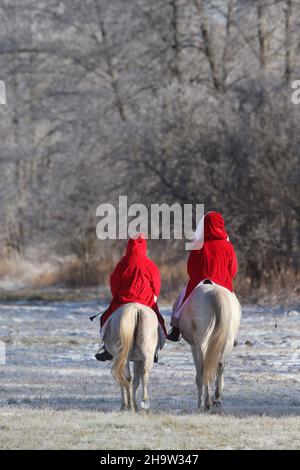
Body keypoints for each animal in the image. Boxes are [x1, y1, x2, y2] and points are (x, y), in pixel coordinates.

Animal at [179, 282, 240, 412]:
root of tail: (214, 291)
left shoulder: (194, 346)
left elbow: (198, 377)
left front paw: (199, 404)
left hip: (202, 342)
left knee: (204, 369)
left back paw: (207, 403)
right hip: (227, 340)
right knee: (220, 365)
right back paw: (216, 397)